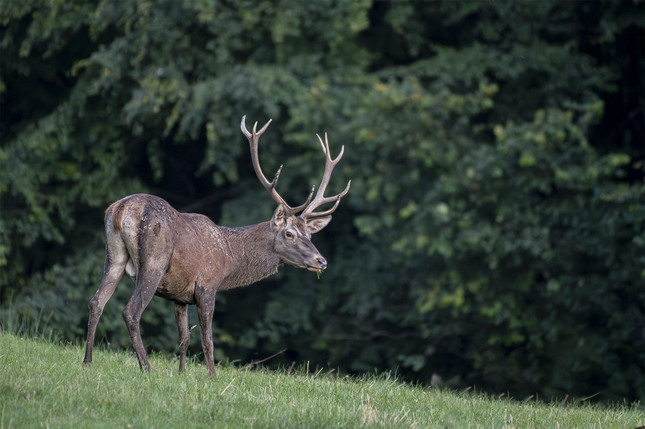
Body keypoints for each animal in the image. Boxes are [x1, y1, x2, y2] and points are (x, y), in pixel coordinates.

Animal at [85, 114, 350, 374]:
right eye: (289, 234)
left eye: (310, 235)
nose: (321, 261)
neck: (230, 259)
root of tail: (120, 209)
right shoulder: (207, 285)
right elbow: (207, 339)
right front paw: (212, 376)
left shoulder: (179, 296)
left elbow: (184, 338)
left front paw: (182, 374)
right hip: (153, 261)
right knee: (131, 311)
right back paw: (146, 368)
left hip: (114, 257)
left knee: (96, 301)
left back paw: (87, 361)